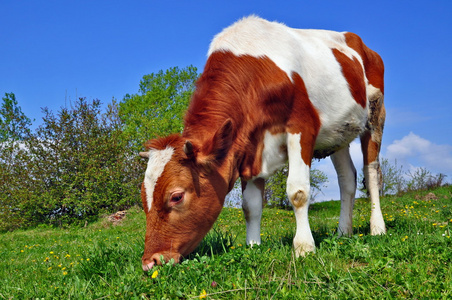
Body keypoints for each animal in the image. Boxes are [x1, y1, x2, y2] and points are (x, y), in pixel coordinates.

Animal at [140, 15, 384, 270]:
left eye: (176, 196)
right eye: (143, 196)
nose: (150, 261)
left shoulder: (302, 126)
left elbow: (298, 192)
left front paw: (304, 247)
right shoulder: (249, 148)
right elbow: (251, 206)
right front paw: (252, 247)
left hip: (375, 114)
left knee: (371, 173)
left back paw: (377, 228)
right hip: (338, 134)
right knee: (347, 178)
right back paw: (343, 232)